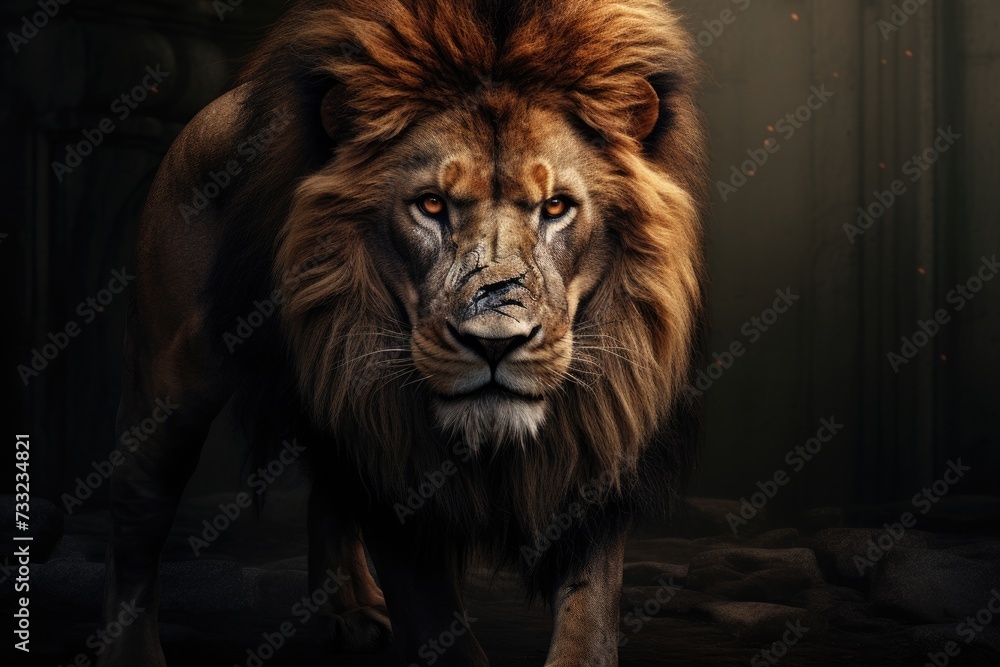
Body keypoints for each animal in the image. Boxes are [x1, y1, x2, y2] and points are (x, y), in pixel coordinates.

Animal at [100, 0, 707, 665]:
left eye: (555, 208)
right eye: (432, 205)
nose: (495, 344)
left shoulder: (596, 442)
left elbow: (587, 620)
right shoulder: (393, 451)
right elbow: (439, 624)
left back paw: (352, 610)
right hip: (171, 387)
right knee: (136, 516)